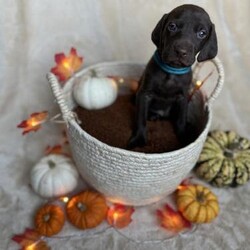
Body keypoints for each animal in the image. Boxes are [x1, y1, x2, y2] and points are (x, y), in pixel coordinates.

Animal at [128, 4, 218, 148]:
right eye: (172, 26)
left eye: (202, 33)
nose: (181, 51)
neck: (172, 71)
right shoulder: (144, 94)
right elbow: (140, 118)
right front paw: (139, 139)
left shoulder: (183, 98)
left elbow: (181, 120)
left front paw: (184, 137)